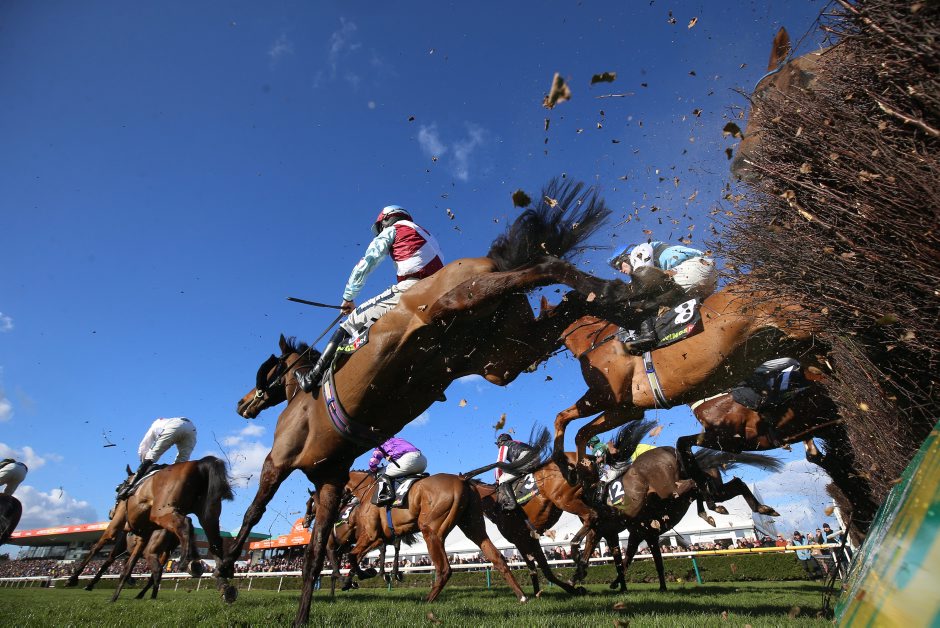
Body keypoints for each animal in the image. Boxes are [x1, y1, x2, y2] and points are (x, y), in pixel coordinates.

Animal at [109, 456, 235, 602]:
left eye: (118, 488)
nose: (111, 513)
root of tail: (199, 464)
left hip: (161, 512)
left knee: (186, 525)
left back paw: (188, 562)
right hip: (208, 515)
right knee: (214, 541)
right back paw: (223, 580)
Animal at [337, 470, 526, 602]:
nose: (340, 513)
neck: (369, 491)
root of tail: (462, 479)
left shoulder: (371, 535)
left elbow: (352, 555)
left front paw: (366, 574)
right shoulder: (379, 538)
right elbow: (356, 556)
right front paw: (349, 581)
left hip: (431, 530)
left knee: (444, 569)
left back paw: (427, 599)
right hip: (474, 527)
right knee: (497, 557)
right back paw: (522, 596)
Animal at [545, 281, 821, 478]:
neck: (597, 341)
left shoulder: (604, 396)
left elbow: (563, 418)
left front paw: (567, 465)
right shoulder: (625, 409)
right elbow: (581, 431)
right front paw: (583, 468)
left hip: (804, 329)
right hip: (795, 346)